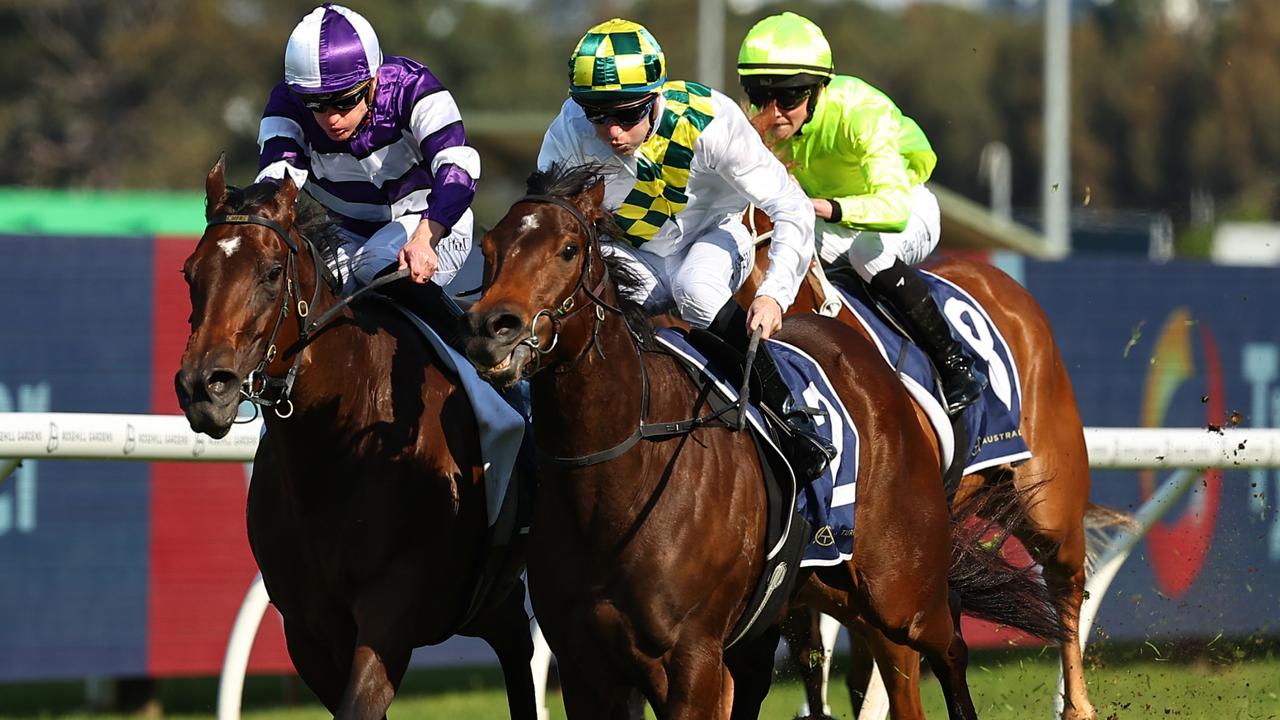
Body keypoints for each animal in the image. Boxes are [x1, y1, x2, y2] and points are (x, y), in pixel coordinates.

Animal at [458, 162, 1059, 717]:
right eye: (488, 247)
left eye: (567, 249)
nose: (493, 328)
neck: (616, 478)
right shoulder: (587, 667)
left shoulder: (690, 659)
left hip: (899, 586)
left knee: (949, 645)